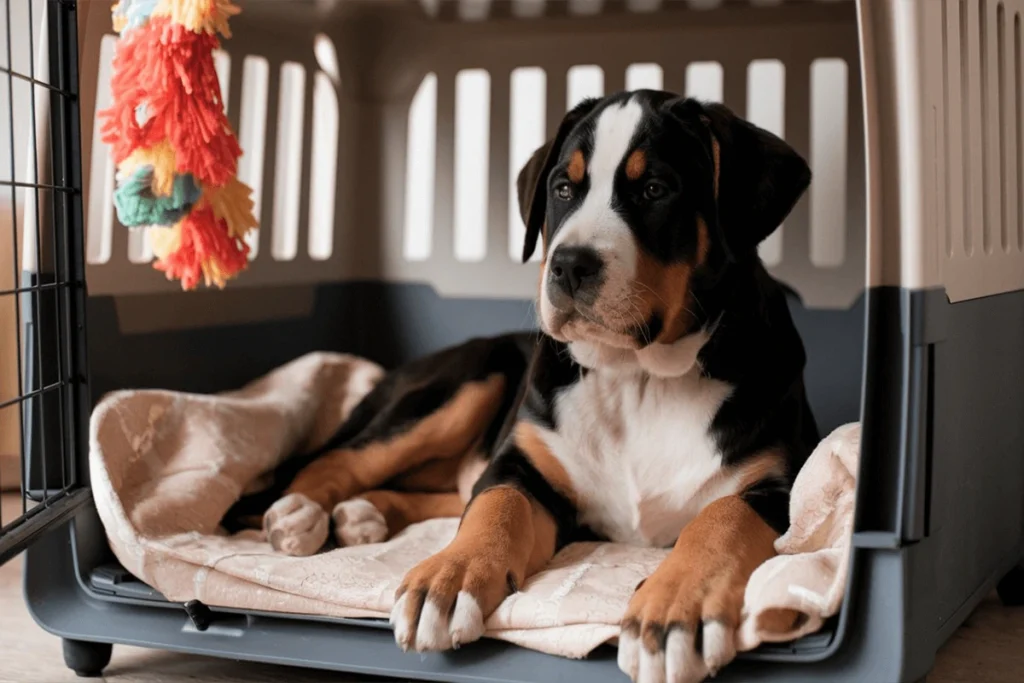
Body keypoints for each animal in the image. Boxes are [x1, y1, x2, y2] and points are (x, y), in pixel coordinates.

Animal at [228, 90, 819, 683]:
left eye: (655, 188)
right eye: (563, 189)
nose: (569, 265)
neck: (639, 377)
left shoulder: (780, 486)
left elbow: (722, 518)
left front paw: (675, 610)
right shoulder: (525, 465)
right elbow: (496, 505)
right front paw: (448, 577)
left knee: (439, 492)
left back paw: (361, 515)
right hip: (469, 381)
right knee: (342, 459)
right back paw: (299, 511)